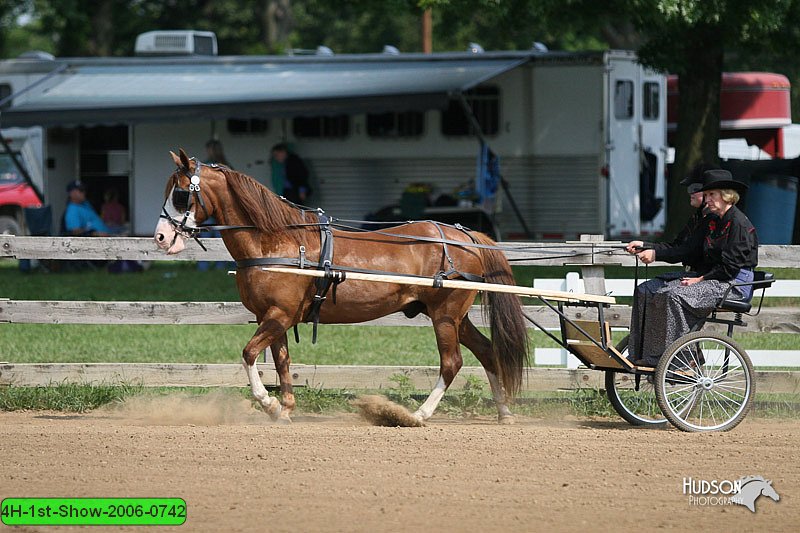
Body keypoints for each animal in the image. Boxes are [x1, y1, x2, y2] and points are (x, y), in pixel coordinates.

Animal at [155, 151, 532, 424]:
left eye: (180, 194)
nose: (160, 237)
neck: (276, 241)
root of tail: (467, 235)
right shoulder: (273, 318)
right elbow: (282, 362)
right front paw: (285, 408)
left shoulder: (279, 315)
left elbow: (249, 354)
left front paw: (268, 403)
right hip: (455, 317)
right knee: (486, 352)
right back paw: (504, 412)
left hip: (445, 316)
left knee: (452, 363)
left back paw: (419, 414)